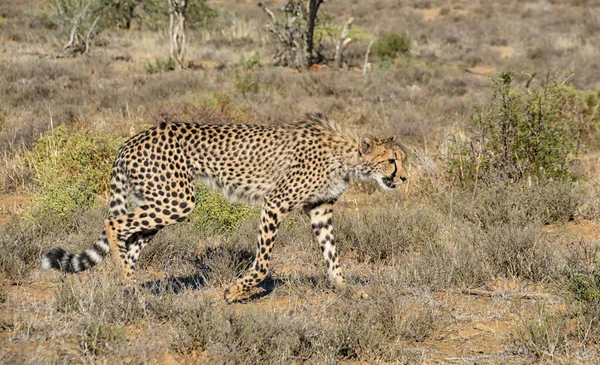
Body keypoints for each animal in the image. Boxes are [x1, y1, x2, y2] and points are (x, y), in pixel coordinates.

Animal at [42, 114, 408, 302]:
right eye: (392, 161)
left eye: (402, 160)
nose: (403, 178)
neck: (345, 156)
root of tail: (132, 139)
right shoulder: (275, 202)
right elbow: (263, 263)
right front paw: (235, 291)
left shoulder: (319, 209)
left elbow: (332, 254)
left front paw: (346, 289)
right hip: (177, 200)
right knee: (114, 223)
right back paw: (129, 283)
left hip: (159, 201)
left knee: (131, 240)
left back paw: (132, 289)